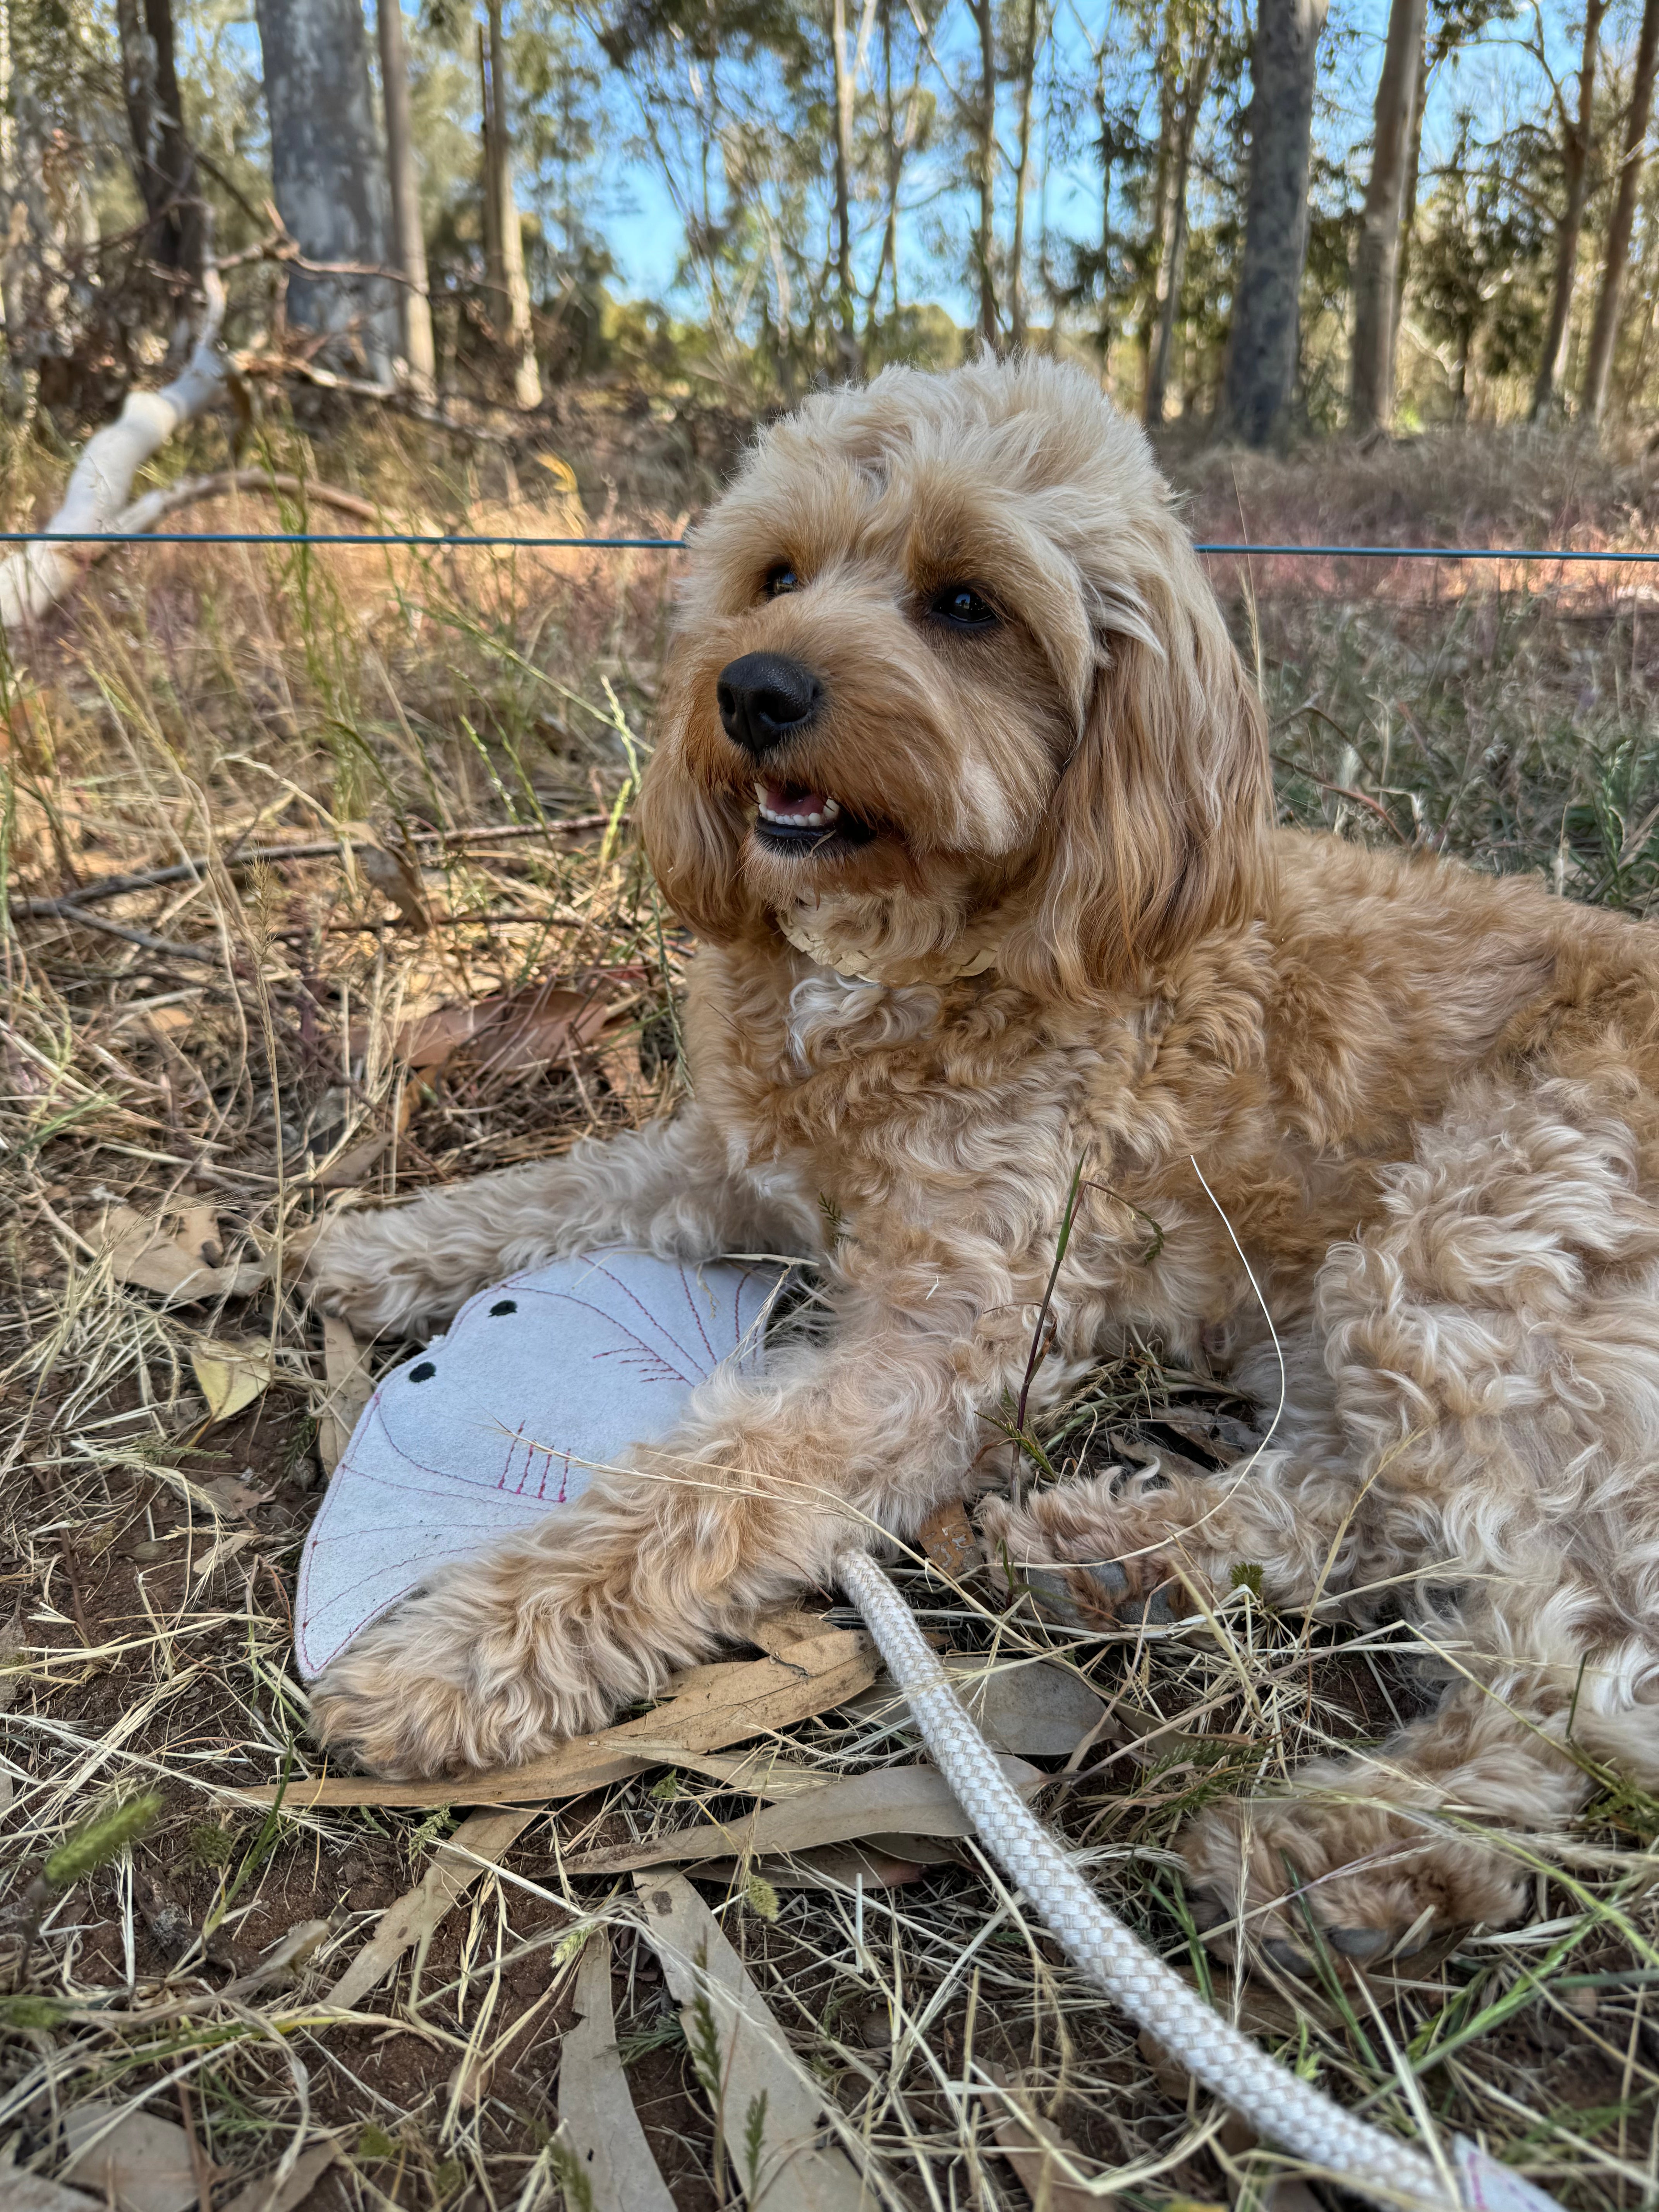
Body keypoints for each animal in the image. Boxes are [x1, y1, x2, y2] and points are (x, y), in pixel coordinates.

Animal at [305, 358, 1659, 1973]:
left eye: (965, 604)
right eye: (774, 576)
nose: (752, 691)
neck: (915, 956)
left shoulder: (945, 1341)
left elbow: (708, 1486)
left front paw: (459, 1651)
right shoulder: (730, 1164)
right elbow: (562, 1190)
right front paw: (382, 1249)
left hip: (1465, 1246)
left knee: (1579, 1665)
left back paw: (1356, 1850)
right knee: (1356, 1504)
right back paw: (1114, 1551)